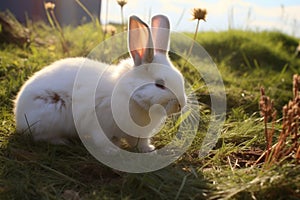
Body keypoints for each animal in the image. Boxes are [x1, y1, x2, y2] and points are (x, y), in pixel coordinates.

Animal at [14, 15, 188, 153]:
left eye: (180, 79)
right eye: (160, 85)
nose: (181, 105)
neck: (130, 95)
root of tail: (18, 111)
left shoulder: (137, 134)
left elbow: (139, 143)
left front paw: (149, 150)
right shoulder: (98, 124)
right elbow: (102, 140)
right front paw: (112, 151)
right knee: (40, 136)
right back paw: (61, 141)